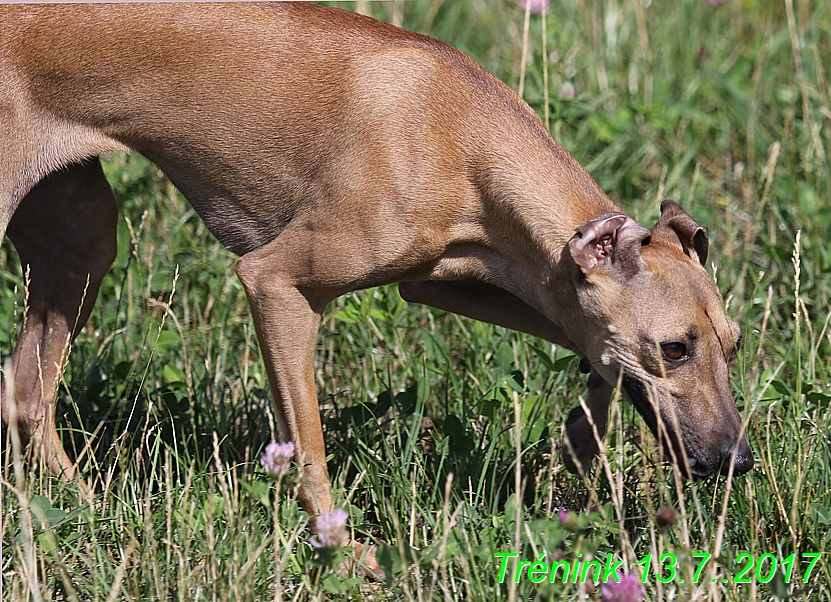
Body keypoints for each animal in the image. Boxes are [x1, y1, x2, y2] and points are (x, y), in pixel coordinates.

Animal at [1, 1, 752, 548]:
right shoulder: (275, 283)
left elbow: (577, 334)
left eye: (733, 344)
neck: (459, 126)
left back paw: (90, 511)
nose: (736, 460)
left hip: (82, 243)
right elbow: (308, 451)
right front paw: (343, 552)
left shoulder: (449, 277)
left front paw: (580, 436)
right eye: (674, 348)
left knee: (26, 392)